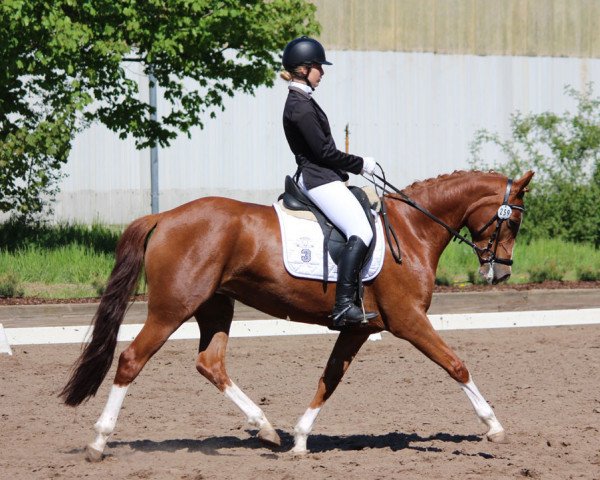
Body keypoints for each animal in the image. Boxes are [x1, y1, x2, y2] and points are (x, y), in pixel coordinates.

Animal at [61, 168, 532, 458]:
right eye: (512, 222)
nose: (503, 271)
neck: (413, 229)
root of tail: (163, 216)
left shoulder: (360, 328)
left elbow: (330, 377)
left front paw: (301, 439)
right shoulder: (408, 320)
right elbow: (456, 364)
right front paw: (493, 426)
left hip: (215, 306)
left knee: (210, 363)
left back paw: (267, 429)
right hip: (172, 307)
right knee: (131, 360)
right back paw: (99, 442)